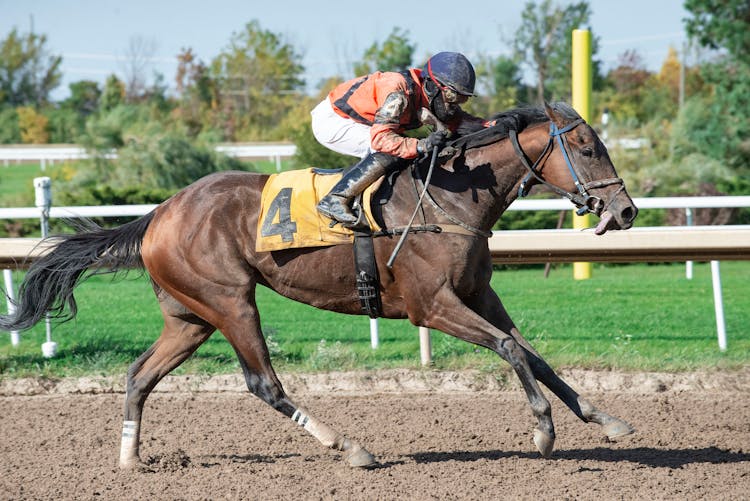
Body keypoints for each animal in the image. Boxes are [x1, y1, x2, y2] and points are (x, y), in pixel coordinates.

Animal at [1, 102, 640, 468]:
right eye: (587, 147)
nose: (626, 211)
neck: (452, 197)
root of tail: (159, 213)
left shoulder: (480, 294)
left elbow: (534, 355)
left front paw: (605, 419)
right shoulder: (430, 306)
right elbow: (510, 348)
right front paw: (544, 432)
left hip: (190, 317)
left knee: (139, 375)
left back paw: (131, 461)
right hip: (230, 302)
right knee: (263, 383)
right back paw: (350, 448)